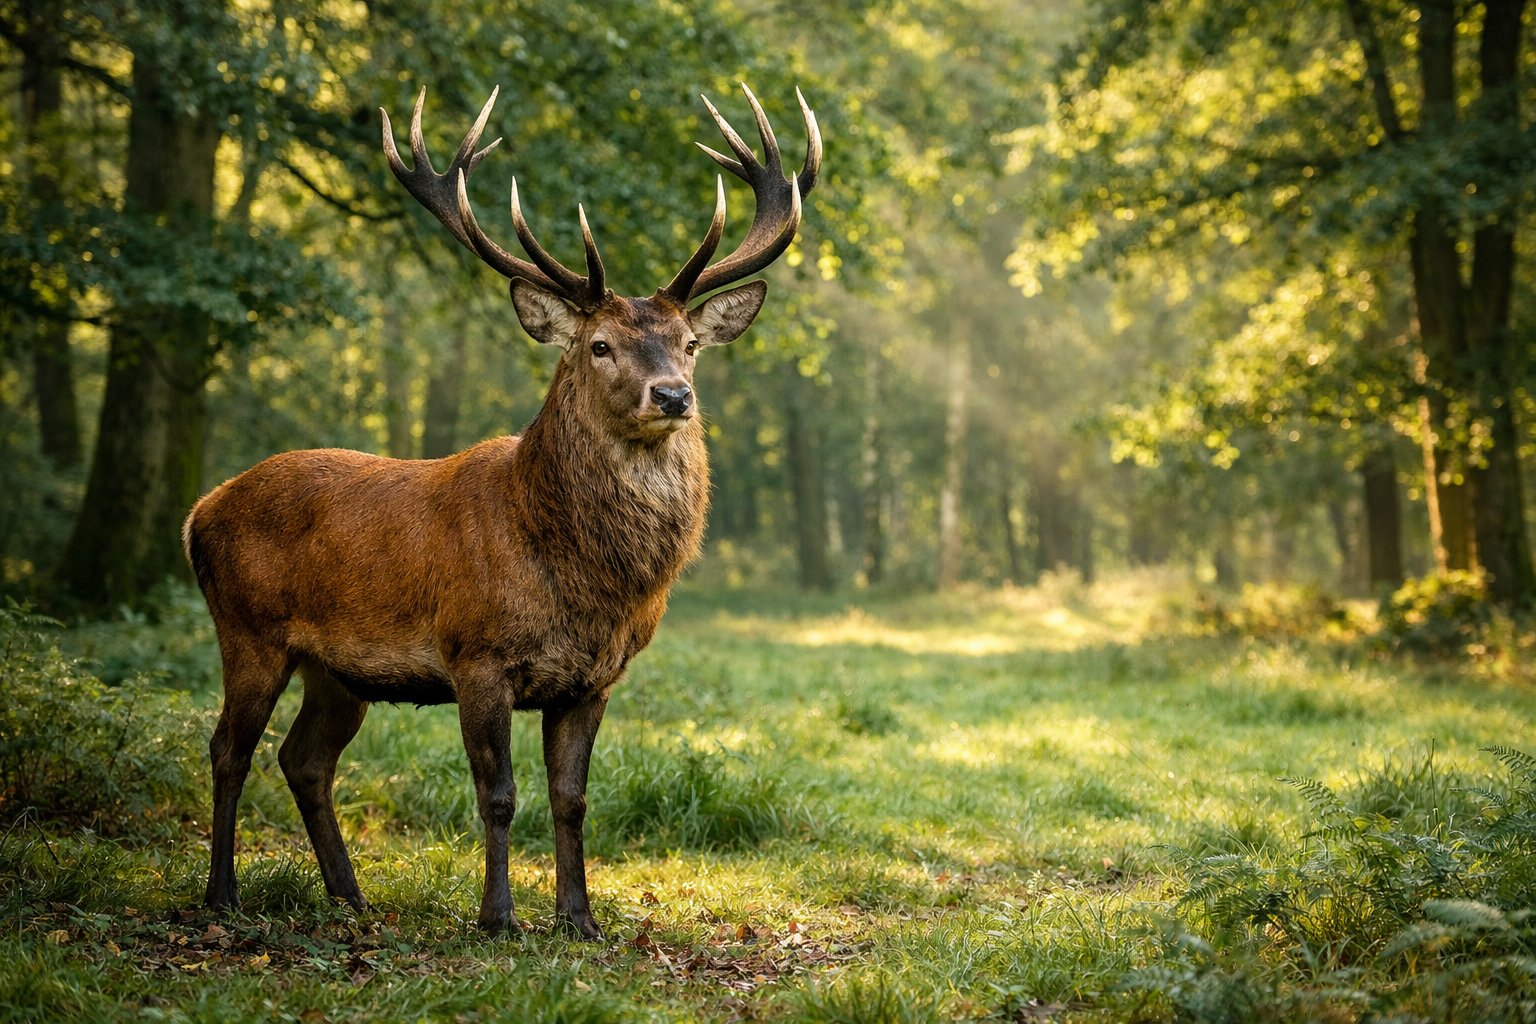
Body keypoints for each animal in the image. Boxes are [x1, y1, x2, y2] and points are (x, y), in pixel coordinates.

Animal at [182, 83, 820, 939]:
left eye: (689, 342)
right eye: (599, 346)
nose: (673, 395)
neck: (576, 572)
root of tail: (198, 512)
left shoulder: (593, 679)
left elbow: (572, 799)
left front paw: (579, 919)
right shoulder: (475, 653)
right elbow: (499, 795)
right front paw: (498, 918)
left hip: (337, 671)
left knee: (305, 758)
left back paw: (351, 895)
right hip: (249, 629)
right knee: (229, 748)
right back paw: (222, 895)